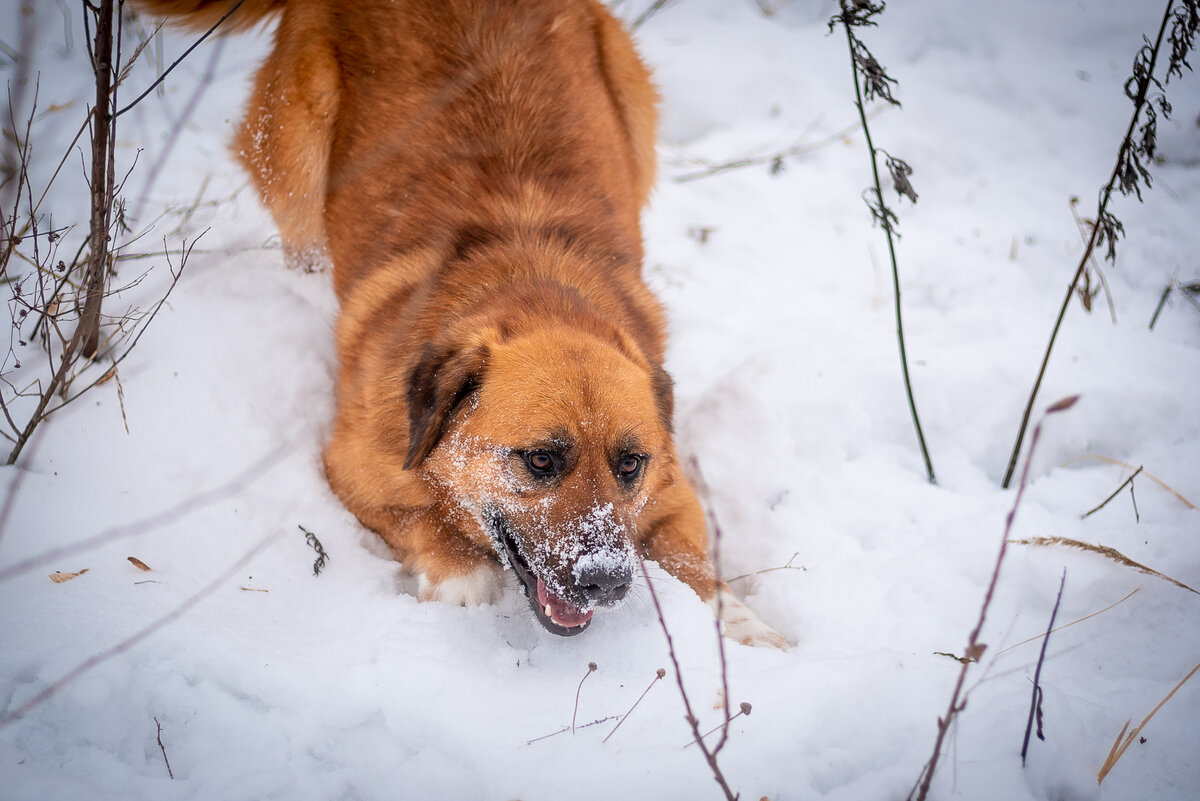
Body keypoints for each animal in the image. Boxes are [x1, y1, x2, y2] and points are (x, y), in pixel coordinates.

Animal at [138, 0, 787, 642]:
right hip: (296, 159)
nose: (607, 584)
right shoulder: (354, 469)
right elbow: (425, 519)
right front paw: (464, 581)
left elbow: (695, 565)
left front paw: (744, 628)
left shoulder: (673, 493)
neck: (531, 284)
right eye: (541, 461)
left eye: (630, 464)